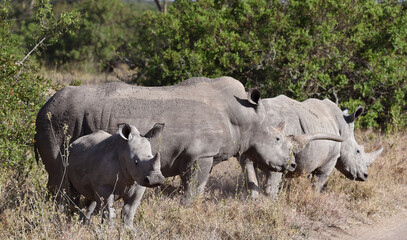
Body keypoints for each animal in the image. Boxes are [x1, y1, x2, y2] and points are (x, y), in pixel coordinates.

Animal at [242, 94, 386, 198]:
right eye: (358, 151)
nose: (365, 175)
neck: (343, 128)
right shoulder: (330, 160)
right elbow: (318, 183)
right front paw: (313, 197)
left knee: (247, 164)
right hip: (276, 131)